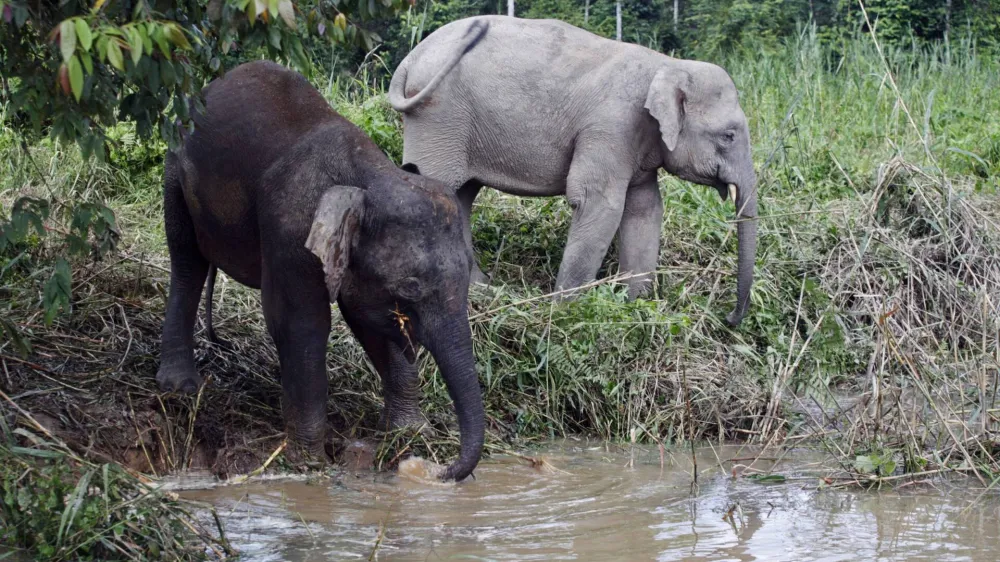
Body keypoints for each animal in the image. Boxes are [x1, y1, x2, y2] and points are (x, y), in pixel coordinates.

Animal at [156, 60, 483, 481]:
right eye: (410, 288)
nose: (438, 468)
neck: (369, 176)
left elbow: (369, 320)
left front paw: (409, 433)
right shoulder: (293, 233)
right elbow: (301, 324)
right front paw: (308, 463)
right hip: (175, 169)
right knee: (186, 258)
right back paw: (180, 387)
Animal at [389, 16, 758, 326]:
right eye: (728, 136)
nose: (728, 319)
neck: (667, 64)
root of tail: (409, 59)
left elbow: (645, 209)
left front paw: (637, 307)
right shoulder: (611, 127)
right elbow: (598, 203)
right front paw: (567, 310)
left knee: (462, 195)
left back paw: (481, 287)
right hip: (439, 117)